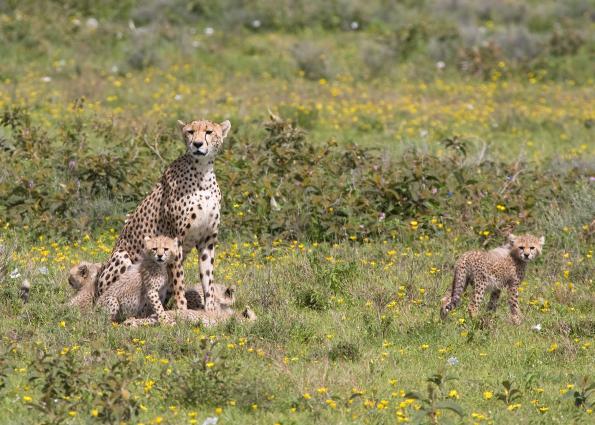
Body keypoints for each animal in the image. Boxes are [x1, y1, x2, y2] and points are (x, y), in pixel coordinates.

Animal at [96, 119, 232, 312]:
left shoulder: (208, 240)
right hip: (122, 258)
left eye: (209, 132)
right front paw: (182, 309)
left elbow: (208, 278)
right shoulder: (176, 238)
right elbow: (179, 279)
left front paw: (210, 309)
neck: (202, 171)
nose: (197, 144)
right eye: (190, 132)